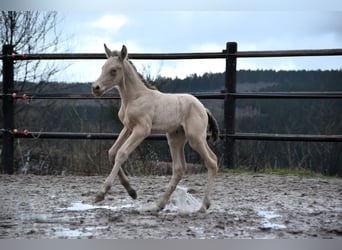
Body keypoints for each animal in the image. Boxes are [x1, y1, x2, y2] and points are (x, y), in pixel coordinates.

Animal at [91, 44, 219, 212]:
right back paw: (158, 205)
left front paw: (101, 193)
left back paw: (204, 205)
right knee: (179, 169)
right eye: (102, 67)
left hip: (195, 138)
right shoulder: (128, 127)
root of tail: (203, 108)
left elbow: (121, 153)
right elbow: (112, 152)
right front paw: (132, 192)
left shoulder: (142, 130)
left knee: (211, 162)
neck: (134, 97)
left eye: (114, 70)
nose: (96, 88)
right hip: (175, 138)